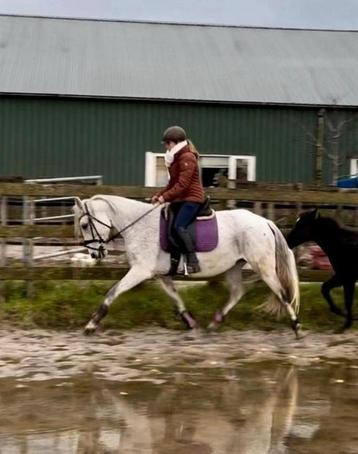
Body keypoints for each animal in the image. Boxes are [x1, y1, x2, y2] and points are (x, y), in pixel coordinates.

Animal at [74, 195, 300, 336]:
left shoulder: (140, 271)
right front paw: (190, 323)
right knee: (237, 292)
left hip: (263, 267)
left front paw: (91, 324)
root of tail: (265, 222)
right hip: (234, 266)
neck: (140, 226)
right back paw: (214, 323)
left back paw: (296, 326)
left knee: (282, 294)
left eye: (84, 225)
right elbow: (176, 299)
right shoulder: (162, 274)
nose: (95, 254)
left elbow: (112, 292)